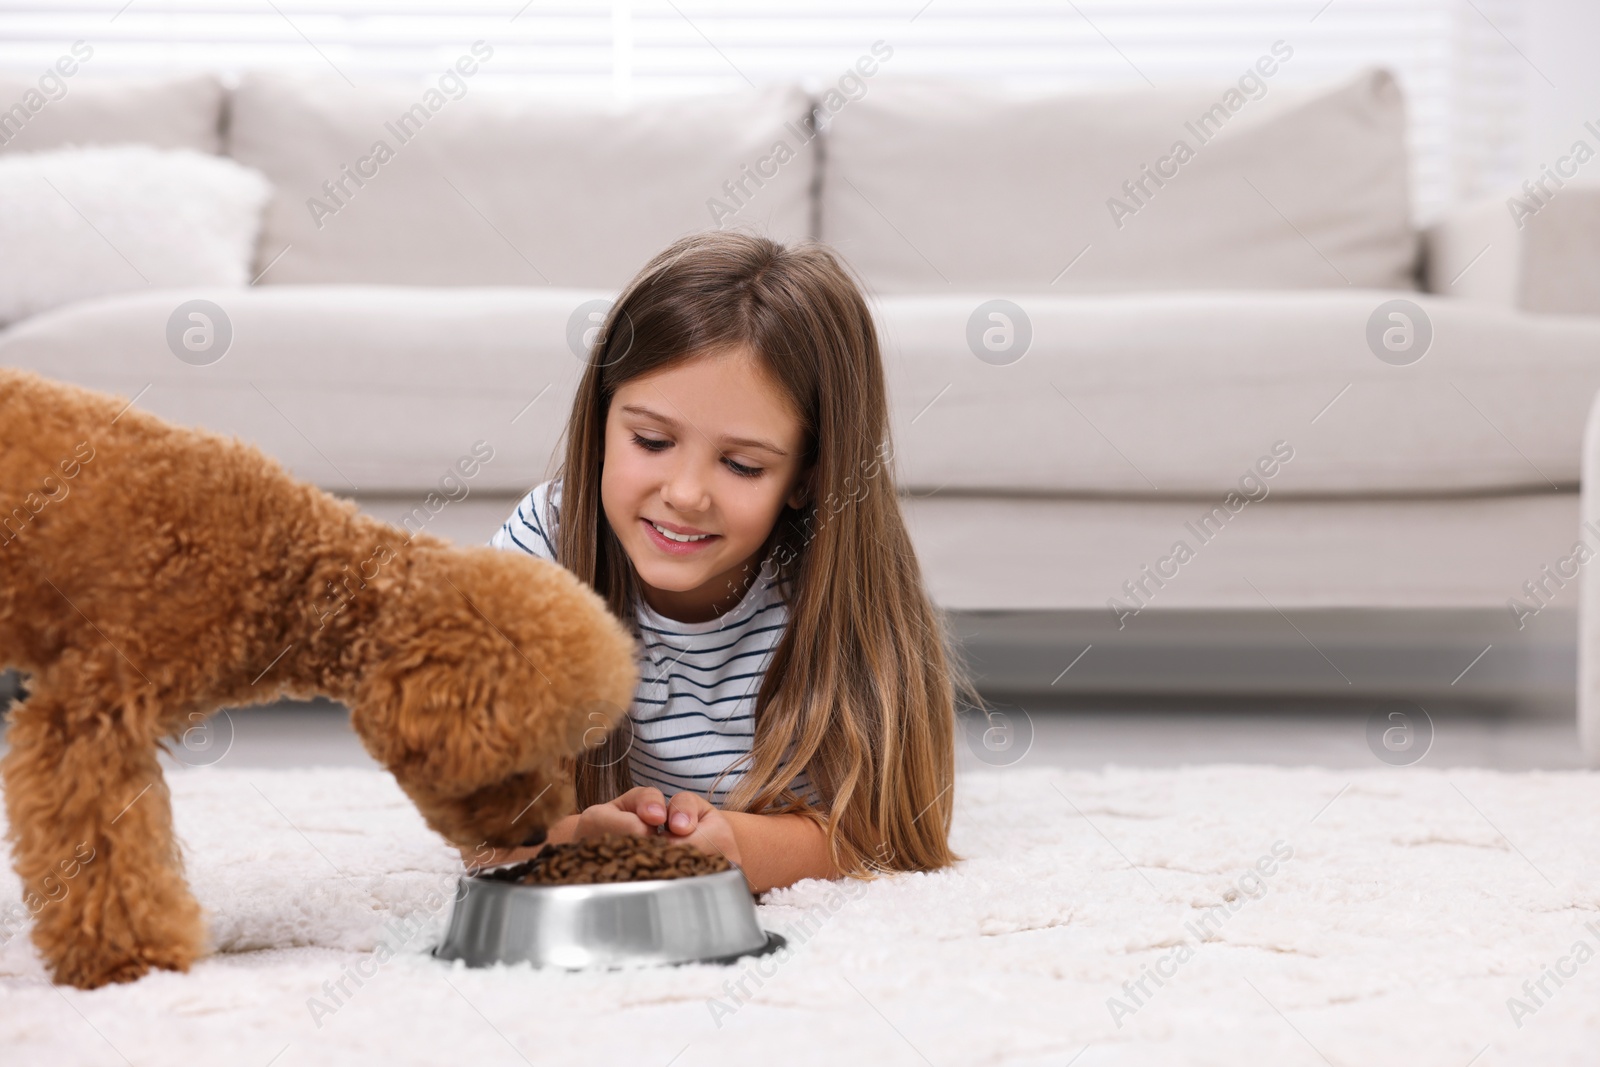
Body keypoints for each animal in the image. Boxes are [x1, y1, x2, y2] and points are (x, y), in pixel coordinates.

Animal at [0, 371, 636, 991]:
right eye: (507, 762)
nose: (536, 834)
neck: (282, 567)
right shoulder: (89, 716)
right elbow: (104, 847)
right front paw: (130, 960)